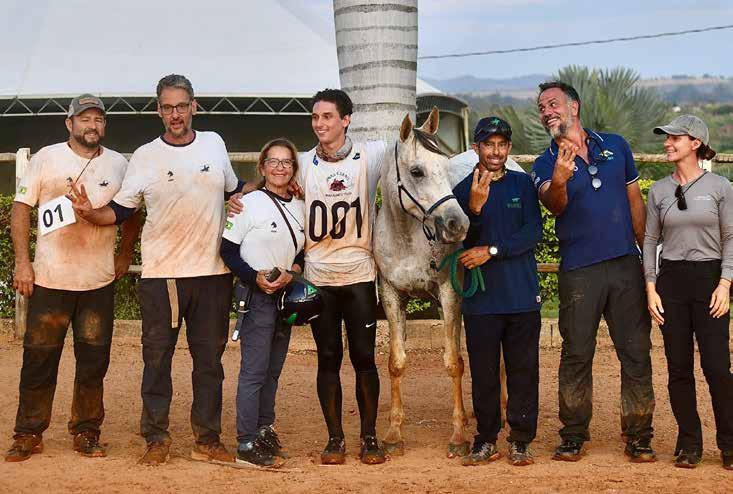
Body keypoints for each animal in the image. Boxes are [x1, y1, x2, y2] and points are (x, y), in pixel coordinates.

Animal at [374, 107, 473, 457]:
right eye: (416, 171)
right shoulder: (391, 296)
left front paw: (458, 436)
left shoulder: (449, 294)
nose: (458, 224)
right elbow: (396, 363)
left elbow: (453, 363)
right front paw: (393, 434)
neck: (407, 239)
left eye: (445, 165)